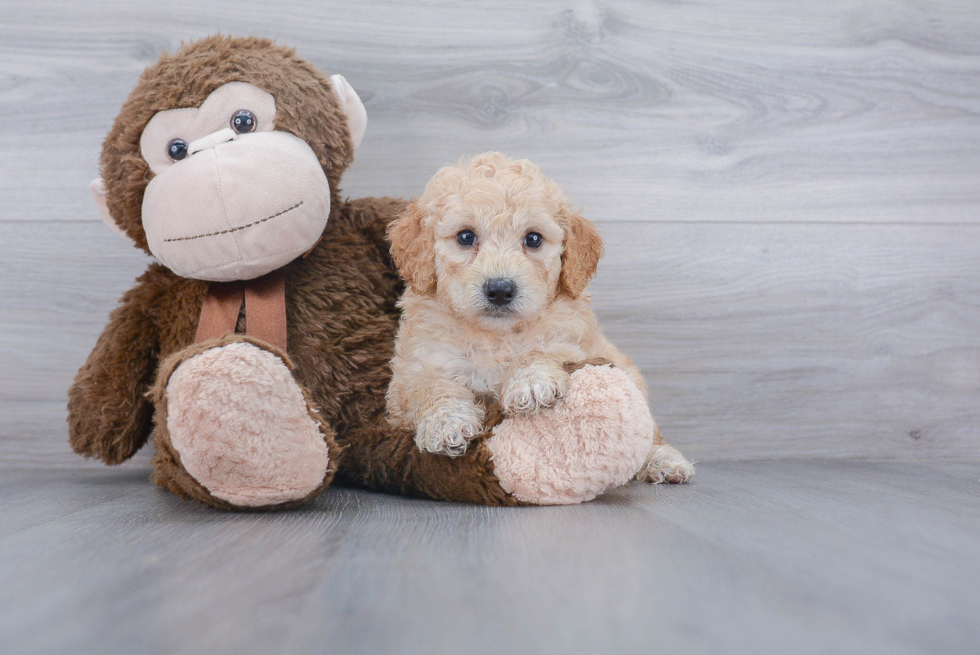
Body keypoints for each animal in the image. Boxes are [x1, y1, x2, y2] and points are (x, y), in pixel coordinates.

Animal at [386, 151, 692, 484]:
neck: (496, 336)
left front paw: (531, 382)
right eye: (465, 237)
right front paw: (446, 422)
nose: (500, 289)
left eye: (533, 239)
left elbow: (540, 350)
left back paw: (664, 461)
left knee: (649, 432)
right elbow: (429, 388)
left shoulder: (574, 345)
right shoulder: (412, 373)